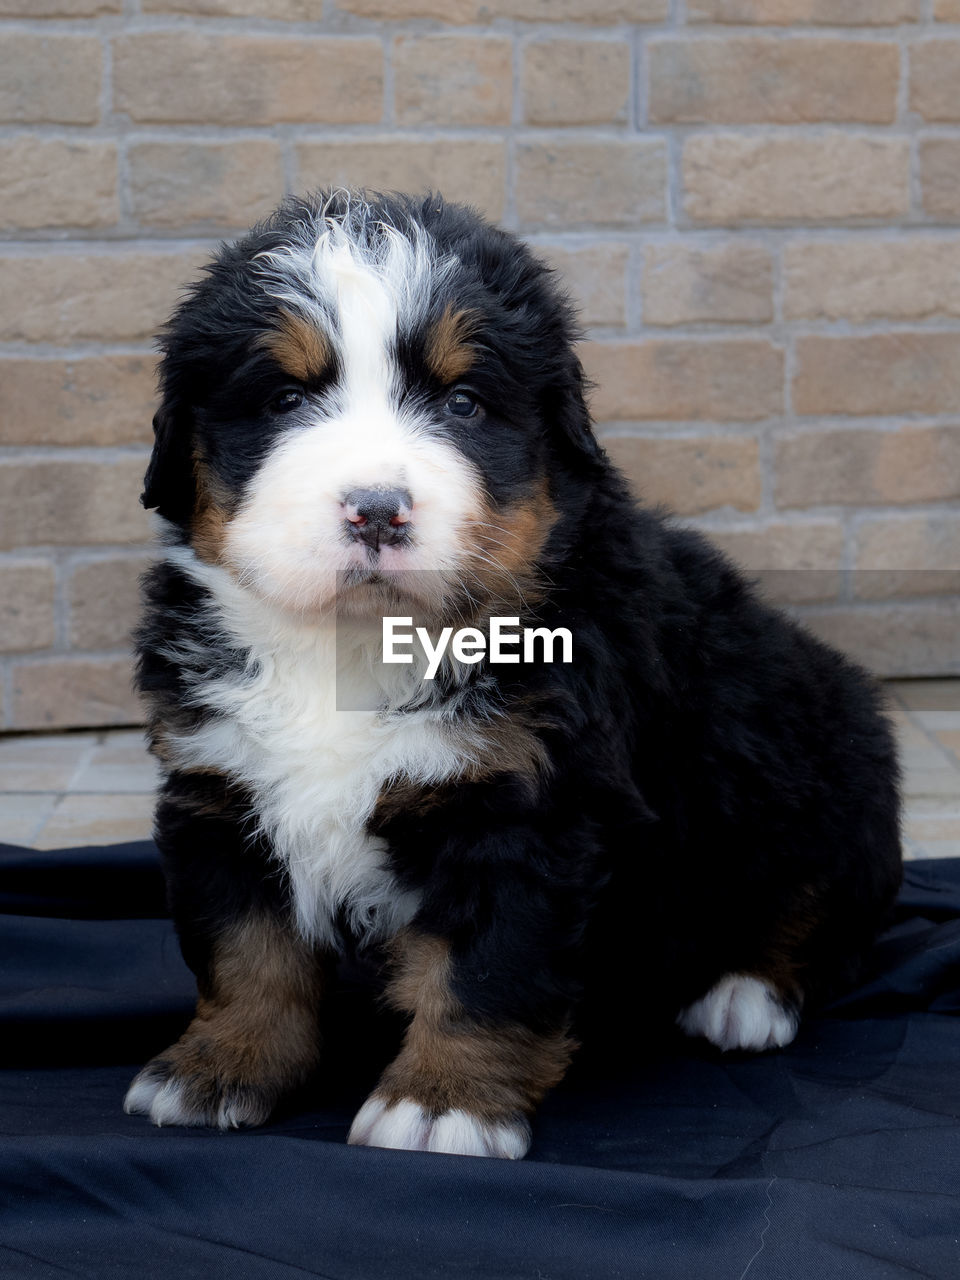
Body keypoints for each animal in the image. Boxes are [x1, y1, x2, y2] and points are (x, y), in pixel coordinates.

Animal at [124, 189, 906, 1162]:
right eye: (284, 398)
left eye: (464, 403)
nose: (376, 510)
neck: (354, 648)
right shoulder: (221, 787)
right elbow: (245, 956)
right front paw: (217, 1067)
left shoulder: (526, 809)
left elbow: (483, 974)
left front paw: (442, 1104)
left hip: (820, 766)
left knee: (821, 908)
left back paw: (745, 994)